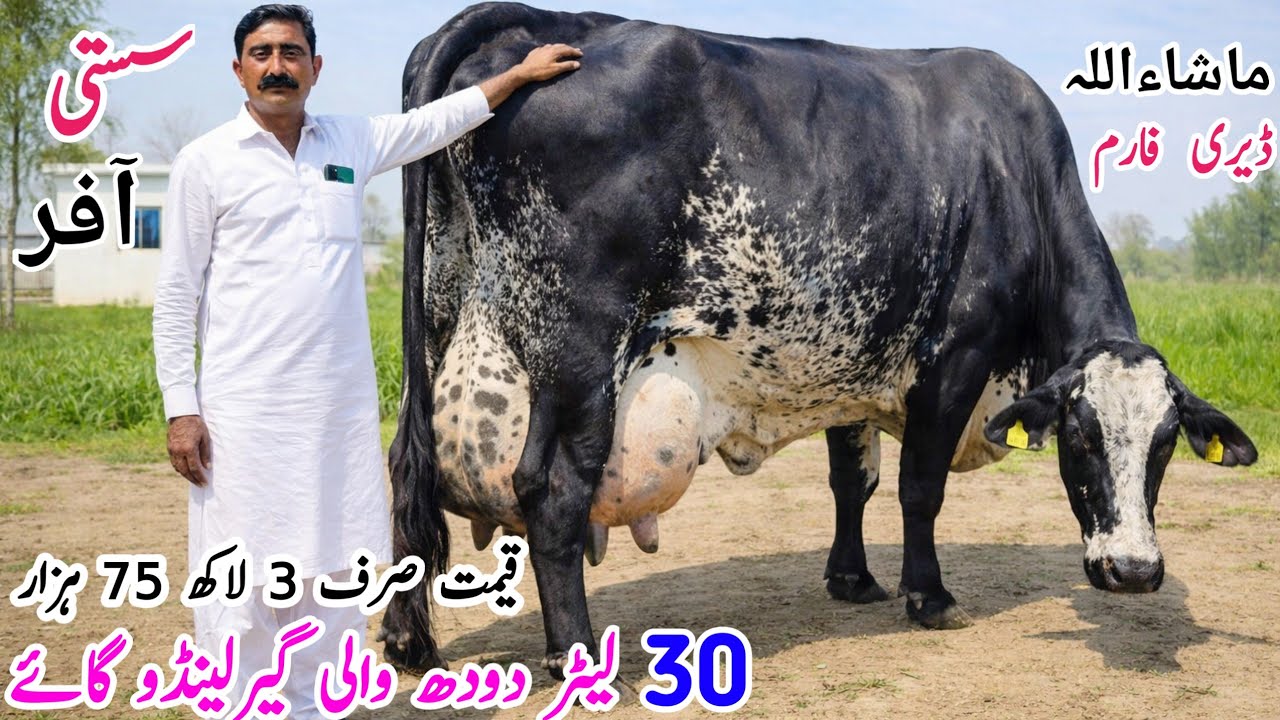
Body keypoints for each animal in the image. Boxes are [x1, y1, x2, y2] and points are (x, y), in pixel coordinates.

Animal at [378, 2, 1259, 675]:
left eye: (1166, 444)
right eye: (1080, 437)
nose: (1133, 571)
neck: (1021, 178)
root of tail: (536, 24)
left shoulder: (854, 363)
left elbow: (851, 481)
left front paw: (853, 579)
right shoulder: (954, 355)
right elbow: (918, 487)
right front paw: (928, 595)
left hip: (444, 326)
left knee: (401, 467)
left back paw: (407, 640)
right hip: (581, 361)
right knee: (553, 494)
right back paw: (580, 657)